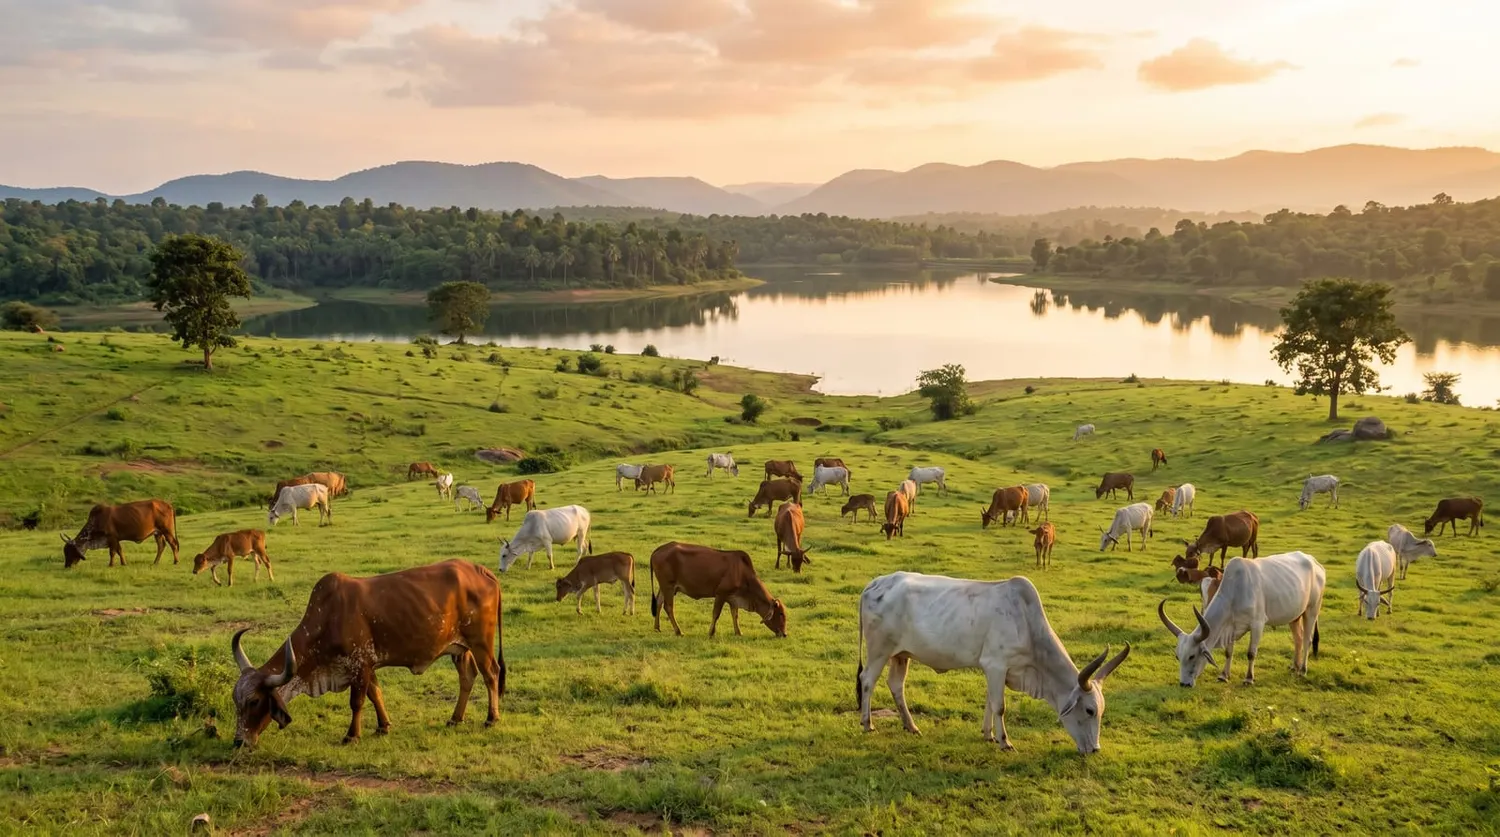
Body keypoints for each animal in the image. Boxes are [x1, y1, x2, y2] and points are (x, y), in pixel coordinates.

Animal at [228, 559, 504, 747]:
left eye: (254, 701)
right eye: (235, 702)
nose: (239, 741)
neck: (328, 618)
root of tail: (482, 570)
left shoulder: (358, 665)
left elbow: (357, 702)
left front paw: (352, 735)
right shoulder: (367, 666)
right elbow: (375, 694)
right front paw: (383, 726)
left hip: (481, 643)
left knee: (491, 673)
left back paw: (492, 718)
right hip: (460, 648)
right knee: (467, 677)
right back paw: (456, 718)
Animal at [649, 542, 788, 637]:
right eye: (781, 614)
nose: (784, 634)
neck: (742, 573)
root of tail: (658, 549)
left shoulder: (733, 598)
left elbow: (735, 615)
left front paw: (738, 632)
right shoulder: (721, 594)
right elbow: (716, 614)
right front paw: (711, 632)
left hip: (665, 587)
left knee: (659, 602)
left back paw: (657, 627)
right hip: (668, 586)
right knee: (668, 607)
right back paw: (678, 631)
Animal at [856, 571, 1131, 754]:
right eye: (1089, 710)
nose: (1095, 749)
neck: (1027, 625)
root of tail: (875, 583)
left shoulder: (993, 670)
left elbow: (989, 701)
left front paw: (987, 734)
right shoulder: (996, 665)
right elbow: (999, 706)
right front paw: (1004, 741)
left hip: (901, 655)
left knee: (896, 685)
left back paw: (911, 726)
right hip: (879, 650)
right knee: (867, 680)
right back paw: (867, 723)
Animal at [1158, 551, 1325, 686]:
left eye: (1192, 656)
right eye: (1177, 656)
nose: (1184, 684)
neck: (1235, 591)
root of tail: (1315, 563)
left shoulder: (1258, 624)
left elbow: (1251, 653)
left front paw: (1249, 678)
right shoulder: (1230, 627)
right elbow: (1228, 652)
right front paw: (1224, 675)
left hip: (1312, 609)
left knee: (1307, 639)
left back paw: (1302, 669)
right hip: (1295, 615)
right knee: (1298, 638)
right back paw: (1294, 666)